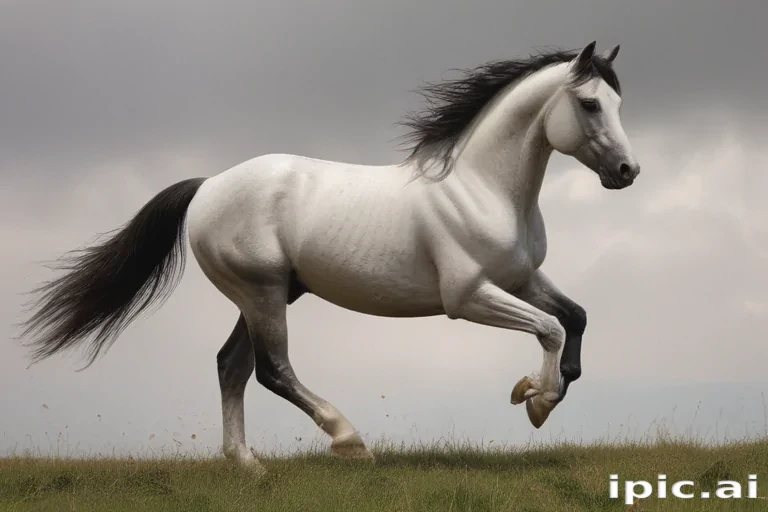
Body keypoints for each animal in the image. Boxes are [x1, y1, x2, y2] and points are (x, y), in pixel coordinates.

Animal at [20, 41, 640, 470]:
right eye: (589, 104)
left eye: (618, 101)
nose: (628, 172)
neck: (483, 188)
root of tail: (208, 185)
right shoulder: (468, 297)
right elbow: (549, 329)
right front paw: (537, 399)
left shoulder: (520, 279)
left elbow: (575, 317)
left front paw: (538, 390)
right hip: (264, 291)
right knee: (270, 370)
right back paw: (350, 441)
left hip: (267, 293)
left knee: (230, 365)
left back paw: (247, 465)